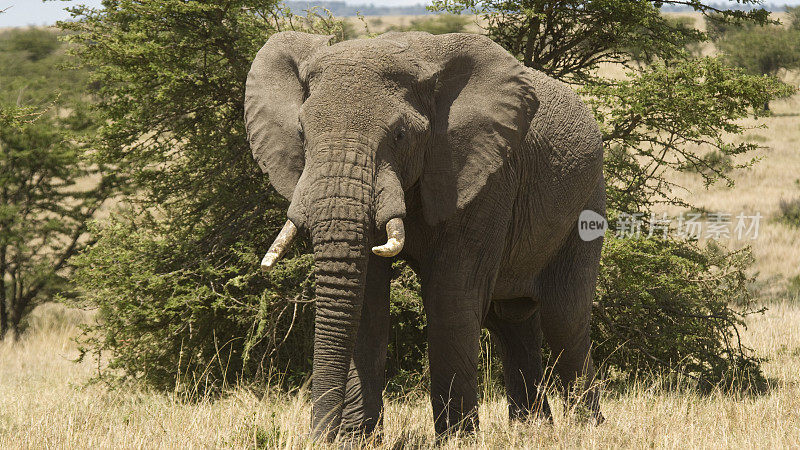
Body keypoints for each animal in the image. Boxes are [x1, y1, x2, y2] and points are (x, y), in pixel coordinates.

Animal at [244, 30, 608, 440]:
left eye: (400, 135)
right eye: (302, 134)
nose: (319, 438)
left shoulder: (484, 175)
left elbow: (450, 298)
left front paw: (458, 440)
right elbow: (368, 303)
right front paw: (358, 440)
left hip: (587, 200)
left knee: (564, 317)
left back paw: (587, 430)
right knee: (510, 323)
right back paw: (531, 431)